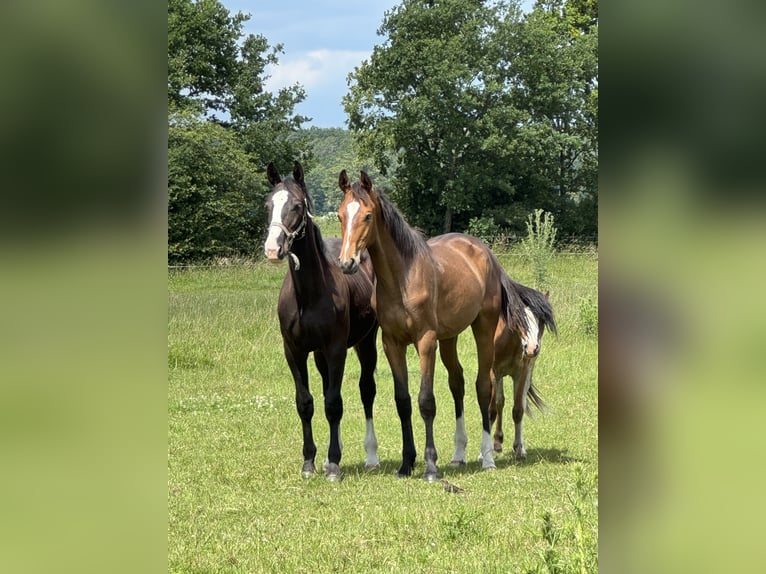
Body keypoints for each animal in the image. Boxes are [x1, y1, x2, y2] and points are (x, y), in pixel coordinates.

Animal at [266, 162, 382, 482]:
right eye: (268, 205)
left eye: (296, 205)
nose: (272, 249)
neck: (309, 294)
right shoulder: (294, 351)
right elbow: (306, 402)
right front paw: (310, 462)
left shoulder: (336, 349)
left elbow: (334, 403)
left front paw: (334, 465)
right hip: (318, 355)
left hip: (366, 343)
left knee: (366, 390)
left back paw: (371, 456)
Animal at [336, 170, 520, 482]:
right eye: (339, 215)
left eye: (368, 216)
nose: (347, 262)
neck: (402, 279)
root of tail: (485, 253)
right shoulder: (392, 343)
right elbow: (403, 401)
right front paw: (406, 463)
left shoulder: (425, 342)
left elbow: (426, 401)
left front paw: (431, 466)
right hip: (449, 339)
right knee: (457, 383)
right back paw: (458, 455)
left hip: (482, 328)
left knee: (483, 387)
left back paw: (487, 457)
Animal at [492, 282, 560, 460]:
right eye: (520, 319)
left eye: (541, 321)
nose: (532, 348)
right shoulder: (493, 372)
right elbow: (493, 408)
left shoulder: (522, 373)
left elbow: (518, 410)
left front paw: (518, 449)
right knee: (499, 403)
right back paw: (497, 443)